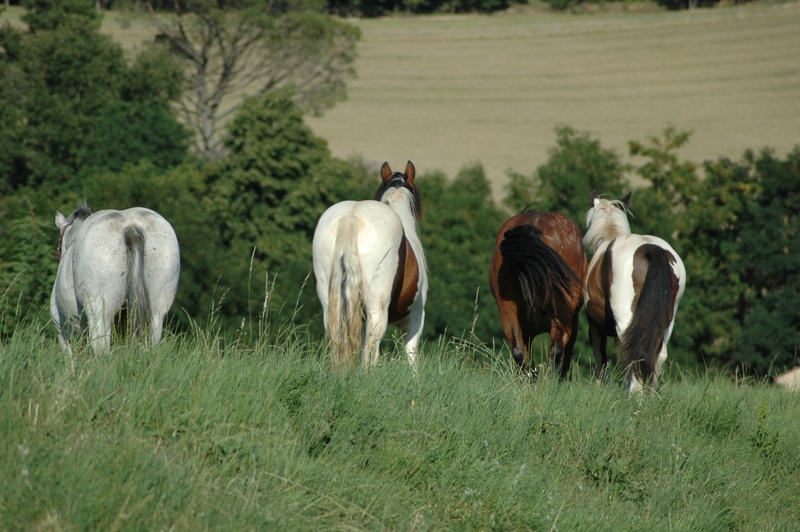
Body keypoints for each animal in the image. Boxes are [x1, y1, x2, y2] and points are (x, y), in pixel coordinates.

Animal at [312, 160, 428, 372]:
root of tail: (351, 216)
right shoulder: (416, 319)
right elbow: (411, 358)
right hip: (377, 308)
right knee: (371, 351)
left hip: (329, 303)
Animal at [580, 191, 688, 390]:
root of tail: (649, 248)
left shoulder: (595, 327)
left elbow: (602, 359)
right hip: (667, 319)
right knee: (657, 354)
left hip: (624, 317)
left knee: (634, 351)